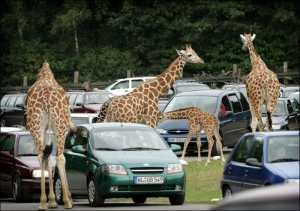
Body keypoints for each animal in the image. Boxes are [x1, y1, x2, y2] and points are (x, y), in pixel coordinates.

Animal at [26, 59, 77, 211]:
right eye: (70, 110)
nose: (75, 129)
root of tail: (46, 99)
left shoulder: (45, 129)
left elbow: (47, 157)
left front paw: (52, 200)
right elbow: (55, 157)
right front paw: (60, 199)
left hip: (36, 126)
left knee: (41, 155)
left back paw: (42, 202)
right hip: (59, 126)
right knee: (60, 157)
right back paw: (67, 201)